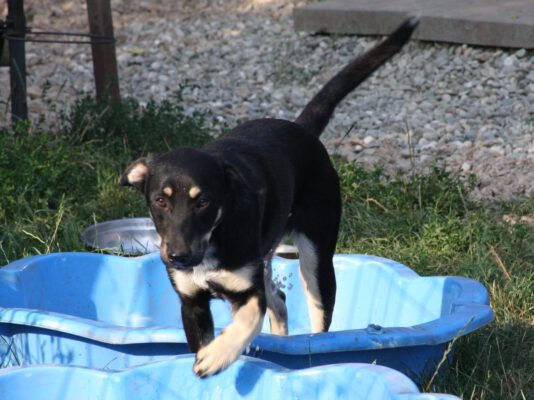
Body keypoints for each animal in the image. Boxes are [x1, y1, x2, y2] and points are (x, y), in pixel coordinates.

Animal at [120, 17, 418, 378]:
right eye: (159, 201)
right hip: (265, 258)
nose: (177, 257)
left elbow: (249, 320)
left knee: (316, 320)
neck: (213, 239)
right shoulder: (192, 303)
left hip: (316, 258)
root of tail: (299, 128)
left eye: (203, 201)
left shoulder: (248, 291)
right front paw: (212, 354)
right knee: (280, 301)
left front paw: (218, 356)